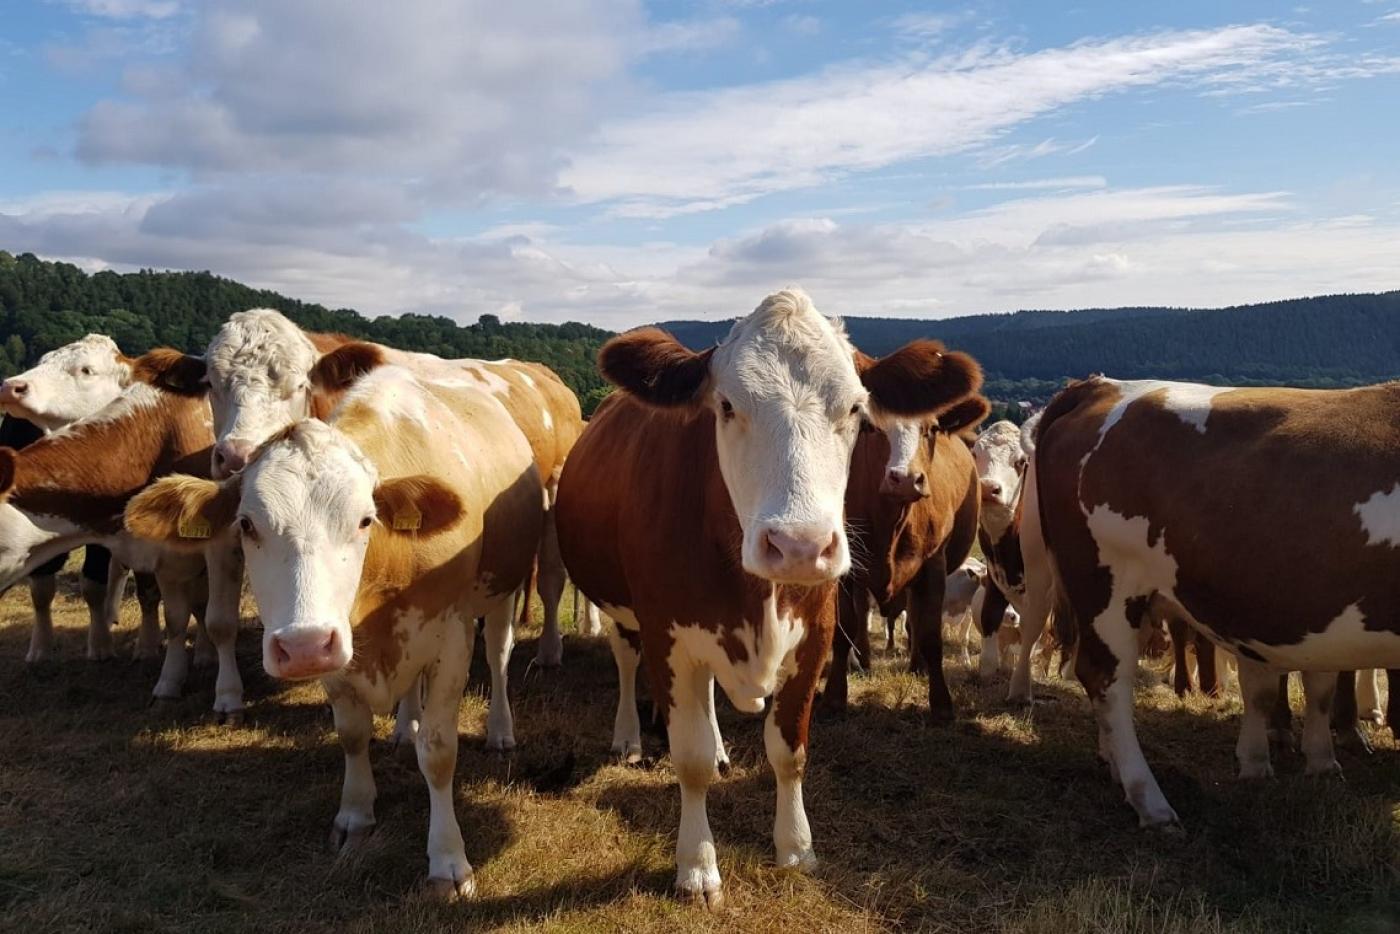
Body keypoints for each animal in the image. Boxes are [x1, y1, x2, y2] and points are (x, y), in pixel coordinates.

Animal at [0, 335, 161, 661]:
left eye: (87, 370)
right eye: (42, 360)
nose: (12, 386)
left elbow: (97, 584)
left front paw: (102, 645)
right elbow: (41, 588)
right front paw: (41, 646)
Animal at [126, 357, 543, 898]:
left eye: (366, 520)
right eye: (246, 525)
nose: (303, 646)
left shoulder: (450, 639)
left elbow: (438, 752)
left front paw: (448, 860)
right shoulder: (337, 650)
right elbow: (351, 733)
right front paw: (355, 815)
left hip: (500, 593)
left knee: (497, 655)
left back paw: (499, 730)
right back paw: (404, 726)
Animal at [823, 394, 988, 717]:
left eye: (932, 428)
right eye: (872, 427)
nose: (906, 479)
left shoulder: (934, 566)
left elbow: (930, 634)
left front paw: (941, 704)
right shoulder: (847, 572)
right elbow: (844, 629)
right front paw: (835, 697)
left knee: (914, 617)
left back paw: (917, 665)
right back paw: (864, 660)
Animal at [1035, 376, 1400, 827]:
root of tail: (1102, 386)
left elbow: (1318, 685)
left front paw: (1321, 765)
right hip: (1107, 586)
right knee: (1107, 679)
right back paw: (1151, 801)